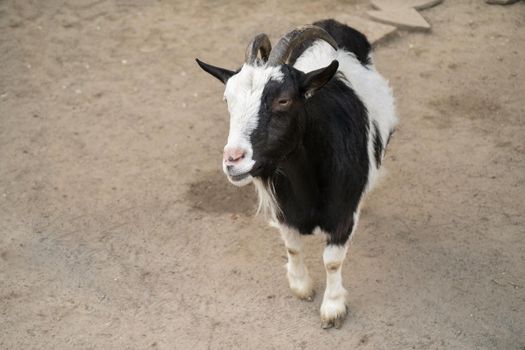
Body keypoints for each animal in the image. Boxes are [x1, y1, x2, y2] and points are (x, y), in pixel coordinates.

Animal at [196, 19, 398, 330]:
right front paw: (301, 286)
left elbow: (332, 260)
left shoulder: (342, 213)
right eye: (227, 99)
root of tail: (333, 23)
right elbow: (292, 246)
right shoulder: (284, 209)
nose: (233, 159)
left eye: (283, 100)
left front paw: (333, 307)